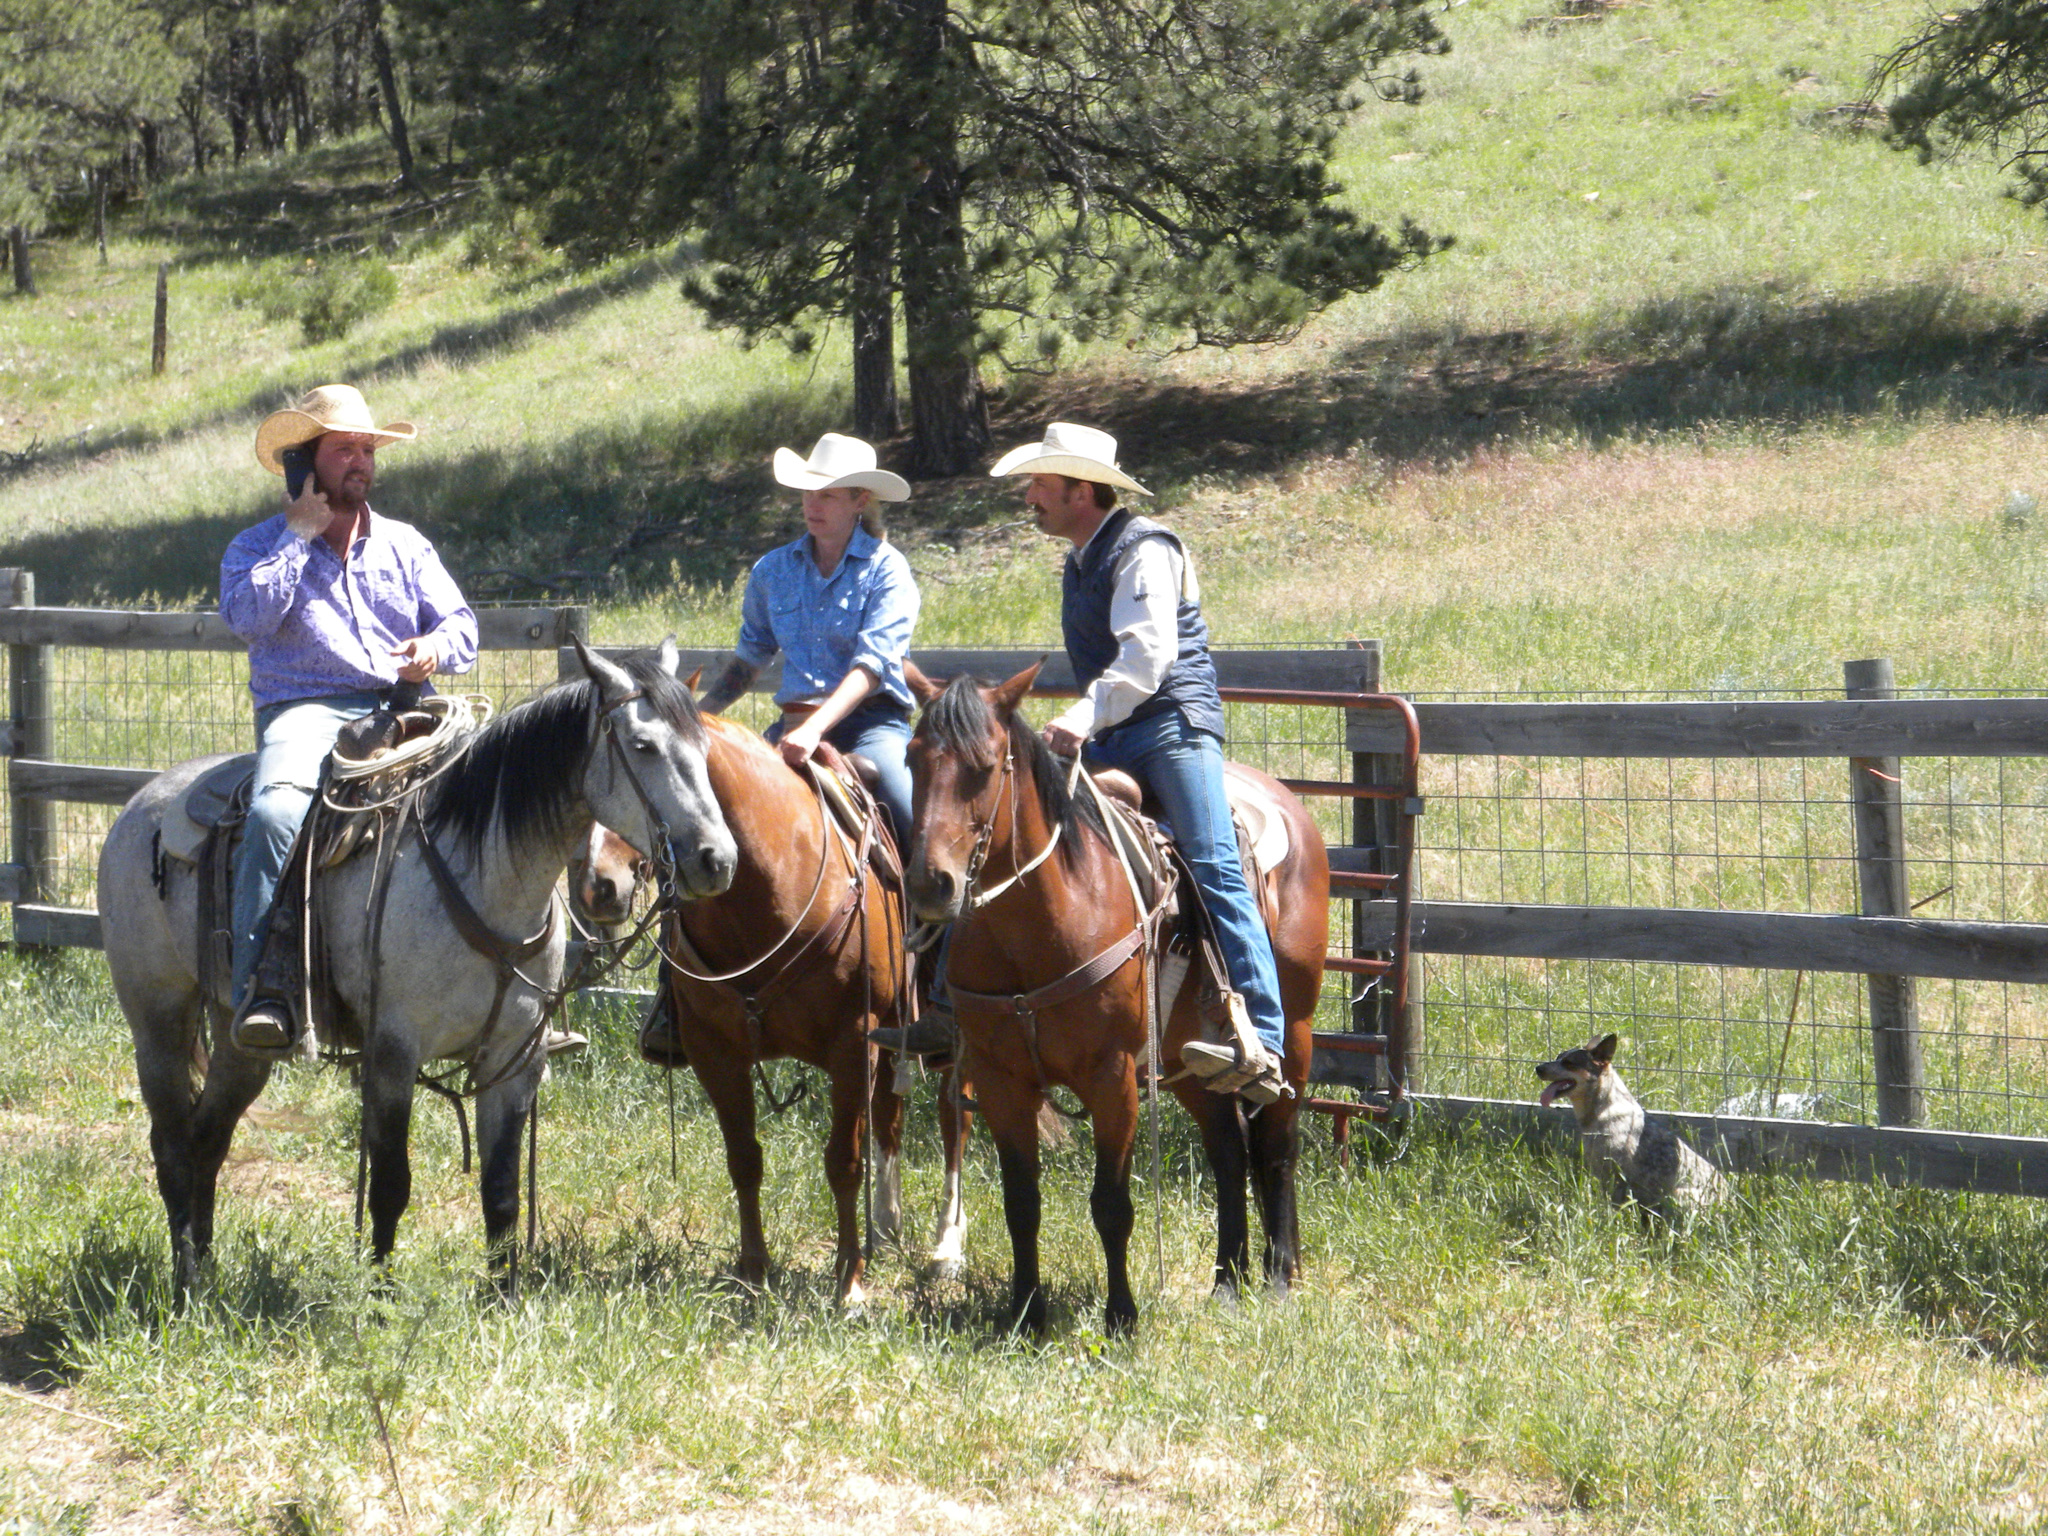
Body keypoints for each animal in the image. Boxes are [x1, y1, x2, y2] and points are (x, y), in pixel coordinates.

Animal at [97, 638, 737, 1302]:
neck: (484, 876)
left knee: (209, 1137)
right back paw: (185, 1278)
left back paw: (204, 1269)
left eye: (705, 750)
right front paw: (380, 1298)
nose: (717, 860)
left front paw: (504, 1299)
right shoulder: (392, 1052)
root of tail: (142, 804)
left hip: (237, 1039)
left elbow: (502, 1192)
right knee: (172, 1142)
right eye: (643, 745)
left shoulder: (515, 1059)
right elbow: (389, 1186)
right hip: (158, 1017)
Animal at [655, 716, 913, 1302]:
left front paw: (849, 1280)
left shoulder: (854, 1043)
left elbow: (843, 1161)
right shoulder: (713, 1052)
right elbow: (743, 1159)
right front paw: (754, 1271)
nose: (600, 886)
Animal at [901, 667, 1327, 1343]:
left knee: (1277, 1146)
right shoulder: (1001, 1080)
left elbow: (1112, 1204)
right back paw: (1227, 1283)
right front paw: (1025, 1312)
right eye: (914, 759)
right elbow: (1021, 1202)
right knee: (1229, 1151)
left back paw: (1280, 1275)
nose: (928, 883)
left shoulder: (1113, 1077)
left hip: (1298, 1030)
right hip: (1188, 1061)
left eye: (986, 765)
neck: (1040, 923)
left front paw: (1121, 1316)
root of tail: (1288, 804)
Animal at [1540, 1036, 1728, 1228]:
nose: (1538, 1068)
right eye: (1558, 1057)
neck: (1604, 1109)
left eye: (1569, 1063)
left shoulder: (1617, 1176)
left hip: (1677, 1195)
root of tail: (1728, 1202)